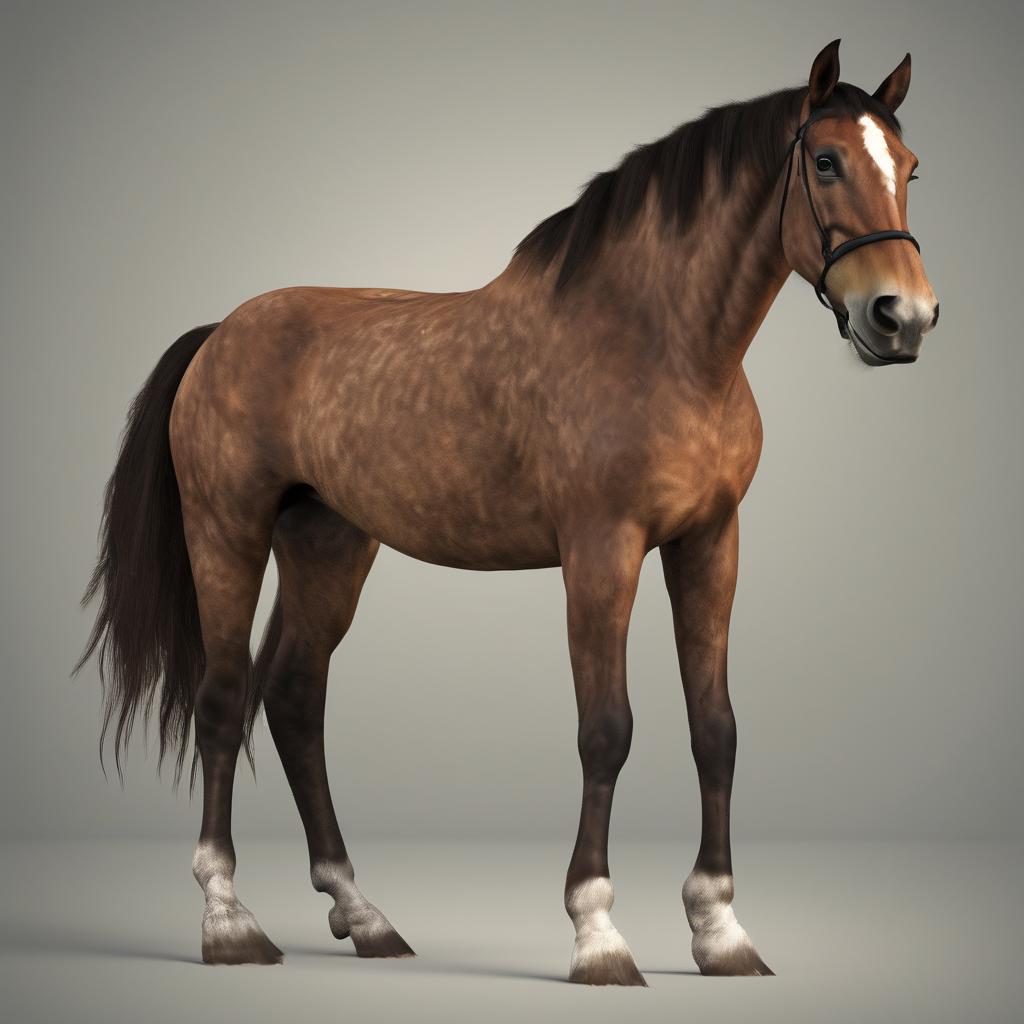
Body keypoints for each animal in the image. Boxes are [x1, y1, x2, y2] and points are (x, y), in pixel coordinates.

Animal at [76, 39, 938, 983]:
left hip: (329, 544)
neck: (660, 342)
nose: (903, 318)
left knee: (296, 698)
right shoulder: (602, 550)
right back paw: (229, 923)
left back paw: (362, 914)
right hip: (226, 532)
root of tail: (221, 333)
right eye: (825, 161)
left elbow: (716, 728)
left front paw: (721, 930)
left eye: (910, 168)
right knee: (224, 699)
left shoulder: (711, 542)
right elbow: (606, 729)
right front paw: (598, 934)